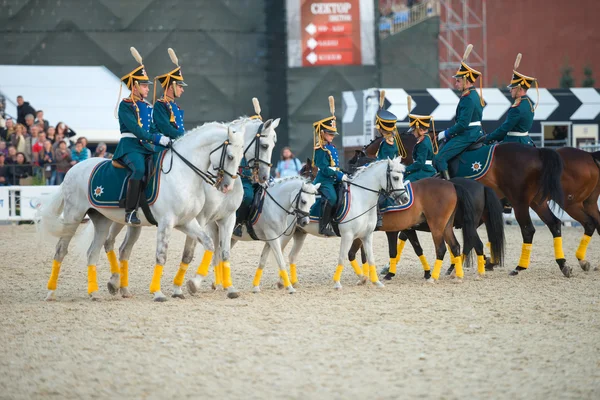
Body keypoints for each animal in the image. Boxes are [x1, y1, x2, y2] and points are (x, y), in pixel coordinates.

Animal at [39, 122, 246, 300]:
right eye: (230, 156)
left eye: (241, 155)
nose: (227, 187)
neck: (184, 174)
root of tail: (73, 169)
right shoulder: (167, 222)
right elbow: (161, 255)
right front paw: (158, 292)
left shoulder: (187, 222)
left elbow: (209, 244)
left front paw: (188, 287)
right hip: (73, 217)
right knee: (61, 251)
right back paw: (51, 293)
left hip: (103, 221)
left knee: (94, 252)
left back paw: (97, 292)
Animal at [102, 117, 278, 298]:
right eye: (265, 145)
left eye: (273, 145)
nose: (265, 177)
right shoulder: (201, 219)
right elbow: (191, 252)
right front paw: (189, 284)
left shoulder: (227, 219)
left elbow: (223, 252)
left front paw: (228, 287)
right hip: (117, 218)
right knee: (109, 242)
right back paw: (114, 282)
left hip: (134, 225)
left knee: (123, 248)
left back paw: (119, 285)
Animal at [188, 177, 322, 296]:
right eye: (303, 201)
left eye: (313, 202)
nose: (305, 222)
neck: (274, 205)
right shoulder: (272, 236)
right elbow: (280, 261)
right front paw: (289, 287)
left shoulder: (271, 239)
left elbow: (262, 262)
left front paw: (255, 287)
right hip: (215, 231)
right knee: (215, 256)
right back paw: (216, 284)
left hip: (231, 237)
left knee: (221, 254)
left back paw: (223, 284)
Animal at [274, 158, 410, 290]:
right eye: (396, 178)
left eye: (402, 177)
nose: (405, 198)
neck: (361, 199)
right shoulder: (348, 235)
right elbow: (342, 257)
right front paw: (337, 283)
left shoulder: (367, 236)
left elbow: (371, 258)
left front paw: (376, 282)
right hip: (286, 234)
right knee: (279, 252)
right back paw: (281, 282)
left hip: (300, 233)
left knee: (291, 256)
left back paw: (294, 283)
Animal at [352, 133, 568, 276]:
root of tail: (536, 151)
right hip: (536, 202)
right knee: (554, 224)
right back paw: (563, 264)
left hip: (519, 202)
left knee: (527, 229)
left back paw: (517, 267)